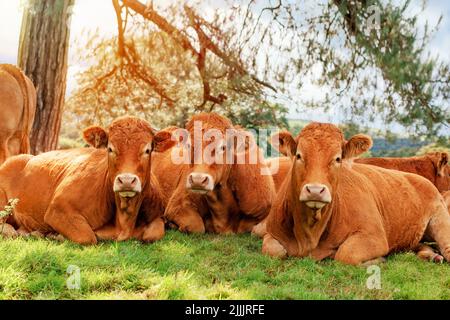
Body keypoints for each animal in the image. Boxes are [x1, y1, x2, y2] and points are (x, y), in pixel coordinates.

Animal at [0, 117, 173, 245]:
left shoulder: (158, 216)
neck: (124, 222)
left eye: (147, 150)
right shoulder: (58, 209)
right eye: (110, 148)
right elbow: (88, 237)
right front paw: (56, 235)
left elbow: (154, 233)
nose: (126, 180)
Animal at [260, 122, 450, 264]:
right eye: (299, 155)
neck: (309, 234)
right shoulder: (271, 233)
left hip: (441, 220)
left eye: (338, 158)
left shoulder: (374, 235)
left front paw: (378, 260)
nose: (315, 190)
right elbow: (272, 250)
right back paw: (431, 255)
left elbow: (345, 255)